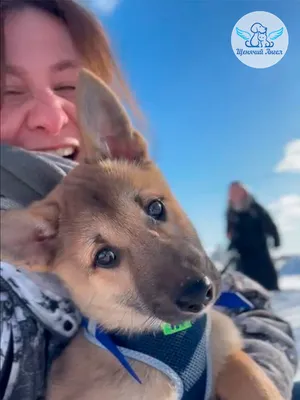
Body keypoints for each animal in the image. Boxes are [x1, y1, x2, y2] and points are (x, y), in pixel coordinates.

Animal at [0, 69, 284, 400]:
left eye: (156, 207)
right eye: (105, 257)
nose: (198, 293)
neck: (163, 335)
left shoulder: (227, 351)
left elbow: (251, 377)